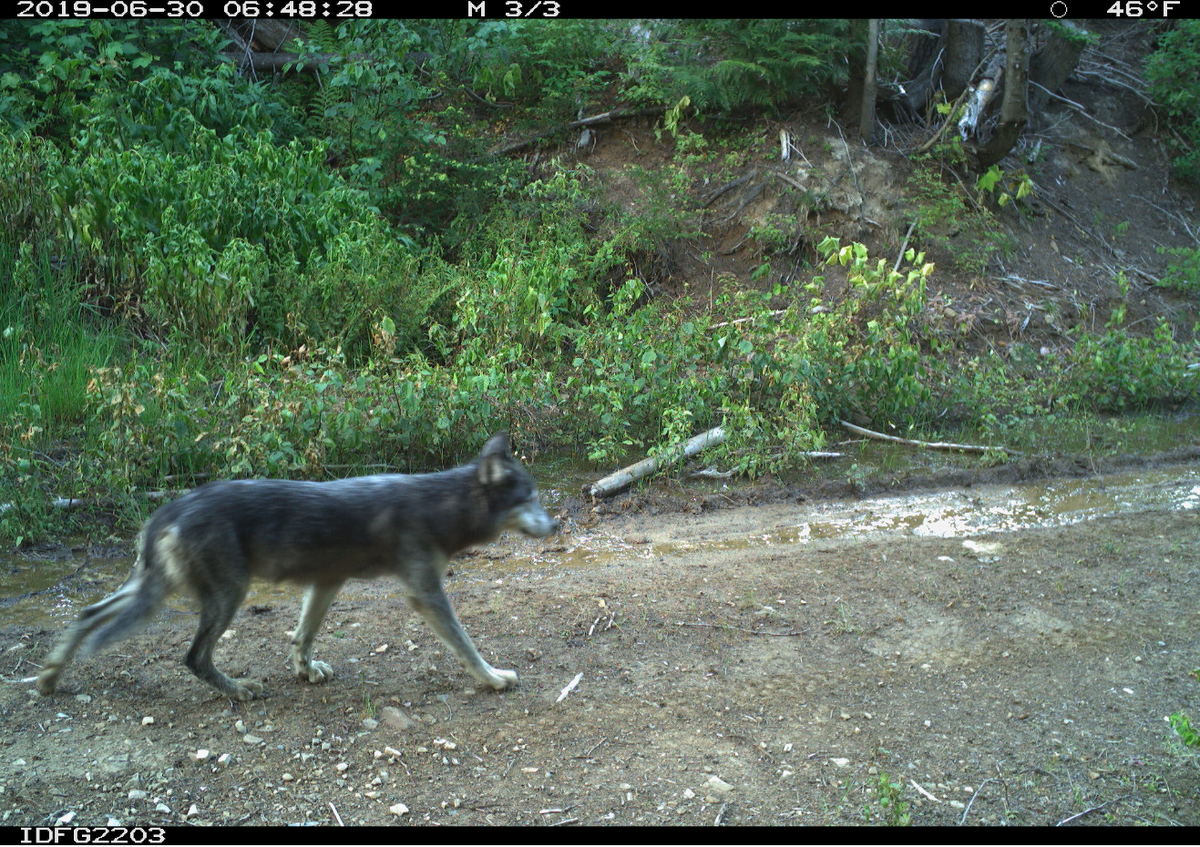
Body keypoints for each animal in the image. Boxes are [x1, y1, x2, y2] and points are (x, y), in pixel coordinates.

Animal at [36, 432, 559, 700]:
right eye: (530, 497)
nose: (555, 525)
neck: (442, 503)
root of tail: (169, 509)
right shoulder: (427, 595)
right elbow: (466, 646)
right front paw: (493, 679)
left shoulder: (328, 582)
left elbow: (302, 636)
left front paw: (306, 671)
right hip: (225, 596)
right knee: (193, 658)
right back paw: (238, 689)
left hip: (152, 591)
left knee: (86, 614)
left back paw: (49, 677)